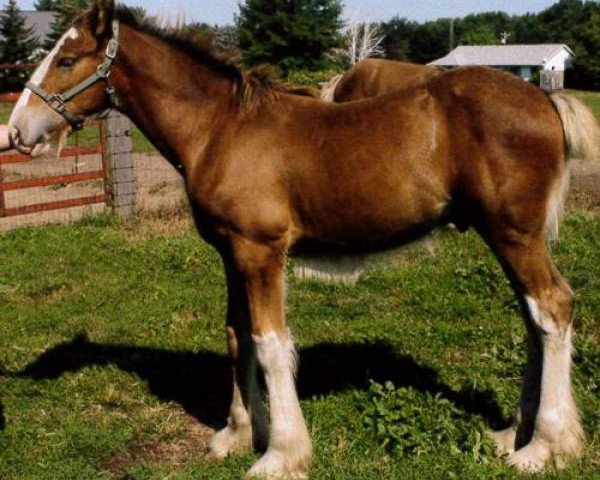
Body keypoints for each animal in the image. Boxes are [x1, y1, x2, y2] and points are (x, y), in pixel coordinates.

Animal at [5, 1, 600, 478]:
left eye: (65, 60)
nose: (17, 131)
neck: (220, 130)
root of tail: (546, 101)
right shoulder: (231, 253)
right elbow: (237, 335)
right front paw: (238, 434)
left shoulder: (261, 251)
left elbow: (271, 344)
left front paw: (280, 454)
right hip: (508, 237)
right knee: (533, 318)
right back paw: (512, 434)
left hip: (514, 234)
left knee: (553, 307)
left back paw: (545, 446)